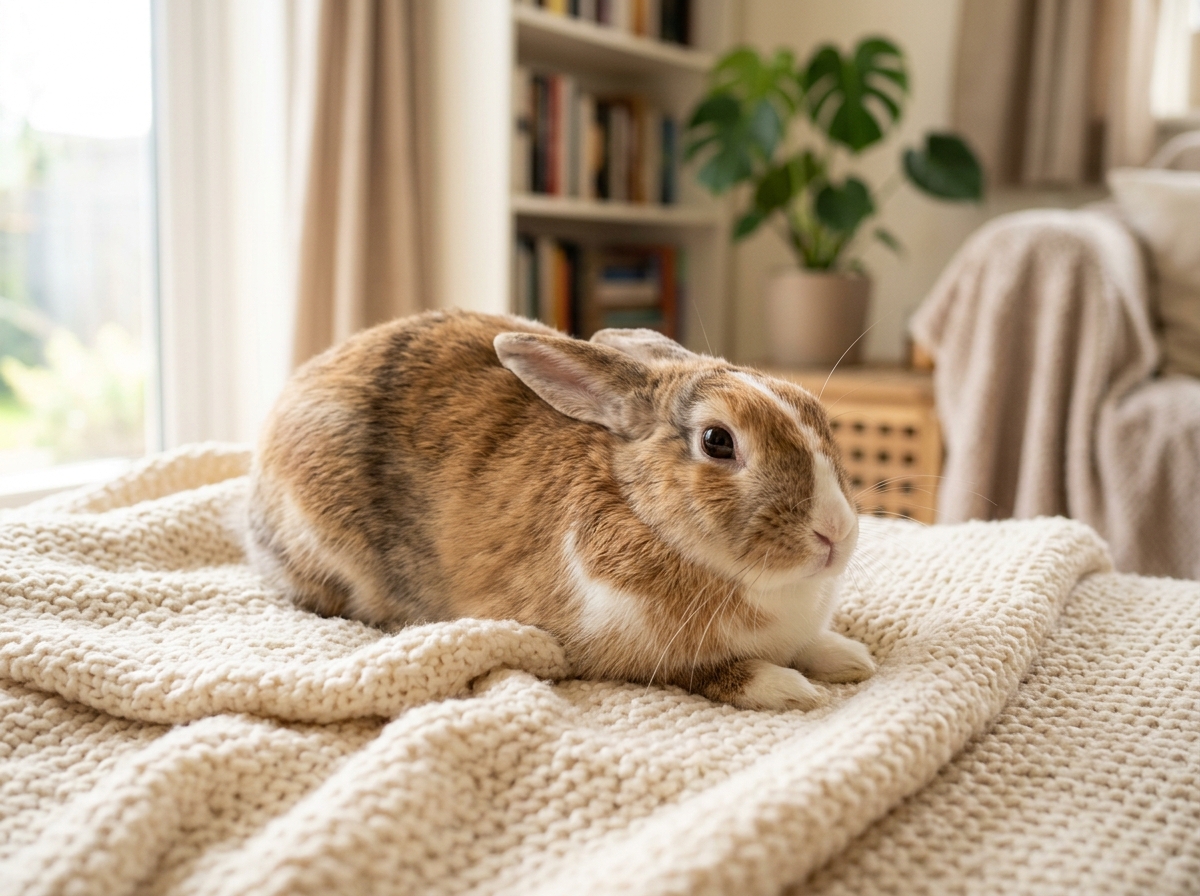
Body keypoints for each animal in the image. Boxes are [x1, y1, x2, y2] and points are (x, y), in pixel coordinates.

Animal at [247, 309, 874, 711]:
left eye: (815, 412)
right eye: (717, 442)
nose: (836, 533)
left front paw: (849, 658)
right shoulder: (627, 658)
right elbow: (714, 673)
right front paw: (792, 689)